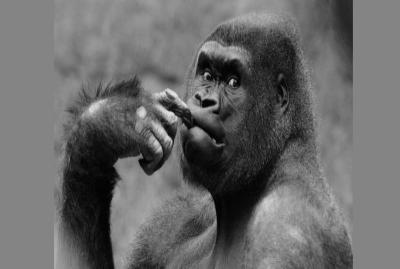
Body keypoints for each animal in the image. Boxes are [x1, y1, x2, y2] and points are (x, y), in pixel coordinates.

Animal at [54, 12, 352, 268]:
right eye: (207, 75)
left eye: (233, 82)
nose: (203, 100)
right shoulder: (175, 222)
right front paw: (104, 125)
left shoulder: (289, 230)